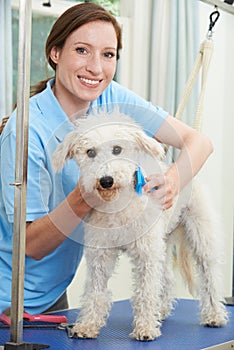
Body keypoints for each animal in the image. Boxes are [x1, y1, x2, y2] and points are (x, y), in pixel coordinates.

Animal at [52, 110, 228, 340]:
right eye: (90, 152)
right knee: (166, 278)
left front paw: (145, 328)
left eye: (117, 149)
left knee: (209, 277)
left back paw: (214, 315)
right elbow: (95, 292)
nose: (106, 180)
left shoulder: (146, 254)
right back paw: (161, 309)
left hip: (200, 236)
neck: (117, 206)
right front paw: (88, 325)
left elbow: (145, 292)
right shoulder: (100, 255)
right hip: (162, 243)